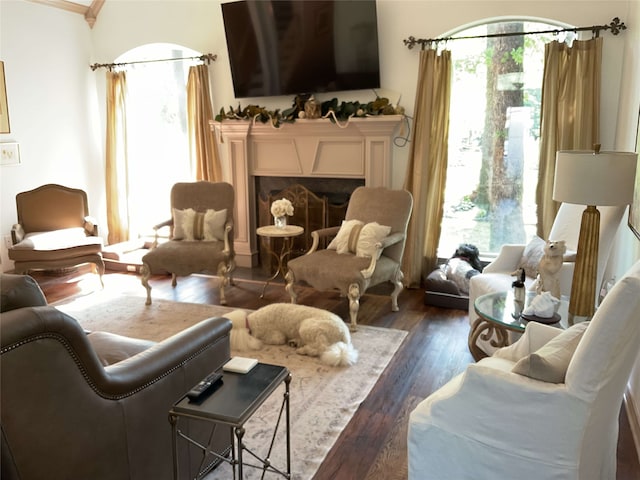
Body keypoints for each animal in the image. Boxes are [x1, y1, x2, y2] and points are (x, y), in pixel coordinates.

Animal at [226, 304, 358, 368]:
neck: (249, 321)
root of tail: (345, 335)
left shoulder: (276, 336)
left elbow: (272, 339)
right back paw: (295, 343)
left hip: (308, 327)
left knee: (321, 348)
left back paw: (303, 350)